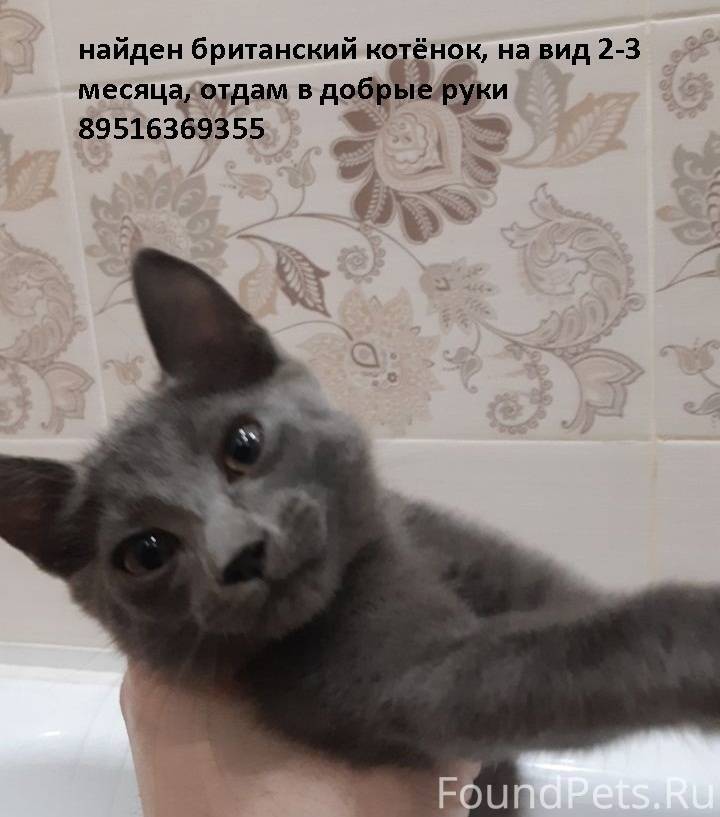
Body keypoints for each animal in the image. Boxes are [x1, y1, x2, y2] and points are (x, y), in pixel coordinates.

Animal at [1, 248, 719, 778]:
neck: (395, 555)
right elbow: (579, 651)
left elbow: (578, 605)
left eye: (243, 445)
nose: (240, 553)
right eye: (146, 552)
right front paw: (697, 628)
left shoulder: (494, 560)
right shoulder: (403, 679)